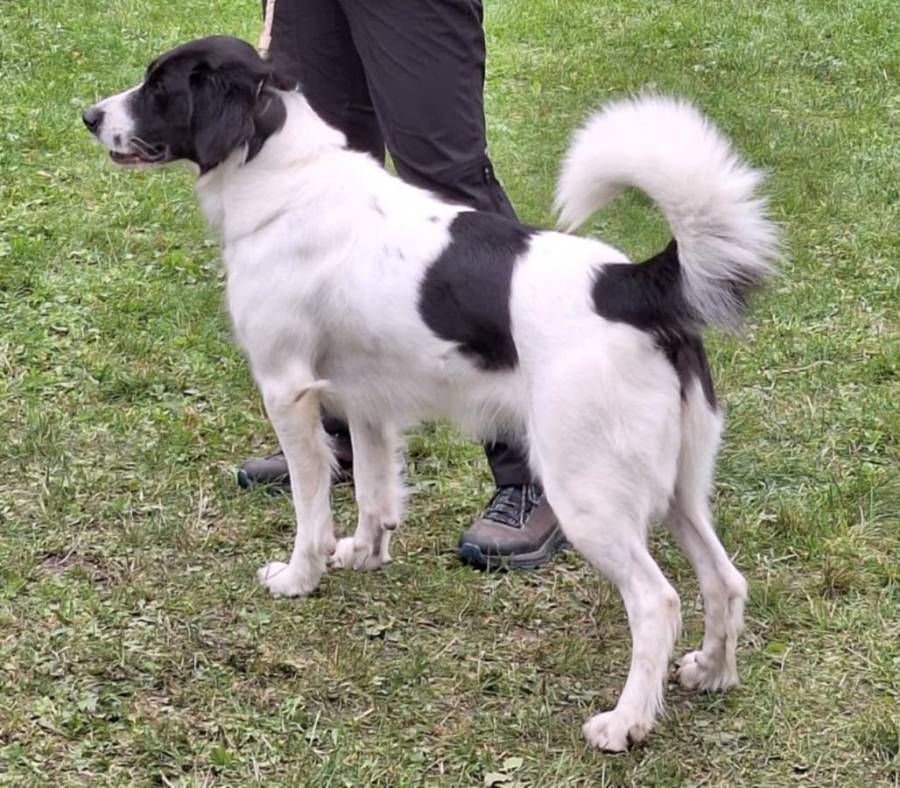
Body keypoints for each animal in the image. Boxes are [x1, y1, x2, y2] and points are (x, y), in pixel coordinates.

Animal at [84, 36, 778, 751]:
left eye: (159, 88)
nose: (89, 116)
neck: (286, 176)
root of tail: (629, 284)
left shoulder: (287, 390)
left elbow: (311, 508)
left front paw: (300, 577)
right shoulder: (364, 396)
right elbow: (372, 489)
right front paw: (364, 553)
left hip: (588, 493)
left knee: (657, 601)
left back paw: (626, 722)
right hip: (678, 488)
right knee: (725, 580)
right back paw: (711, 672)